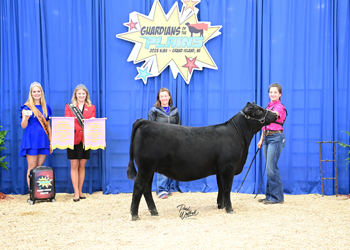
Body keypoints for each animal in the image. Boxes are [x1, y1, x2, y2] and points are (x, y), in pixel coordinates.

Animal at [127, 101, 278, 219]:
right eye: (259, 110)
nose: (276, 114)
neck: (238, 134)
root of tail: (145, 122)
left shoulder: (220, 169)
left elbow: (221, 188)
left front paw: (220, 206)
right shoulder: (229, 167)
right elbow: (227, 188)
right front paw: (229, 209)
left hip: (150, 169)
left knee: (146, 189)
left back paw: (154, 212)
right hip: (145, 167)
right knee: (139, 187)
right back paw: (135, 215)